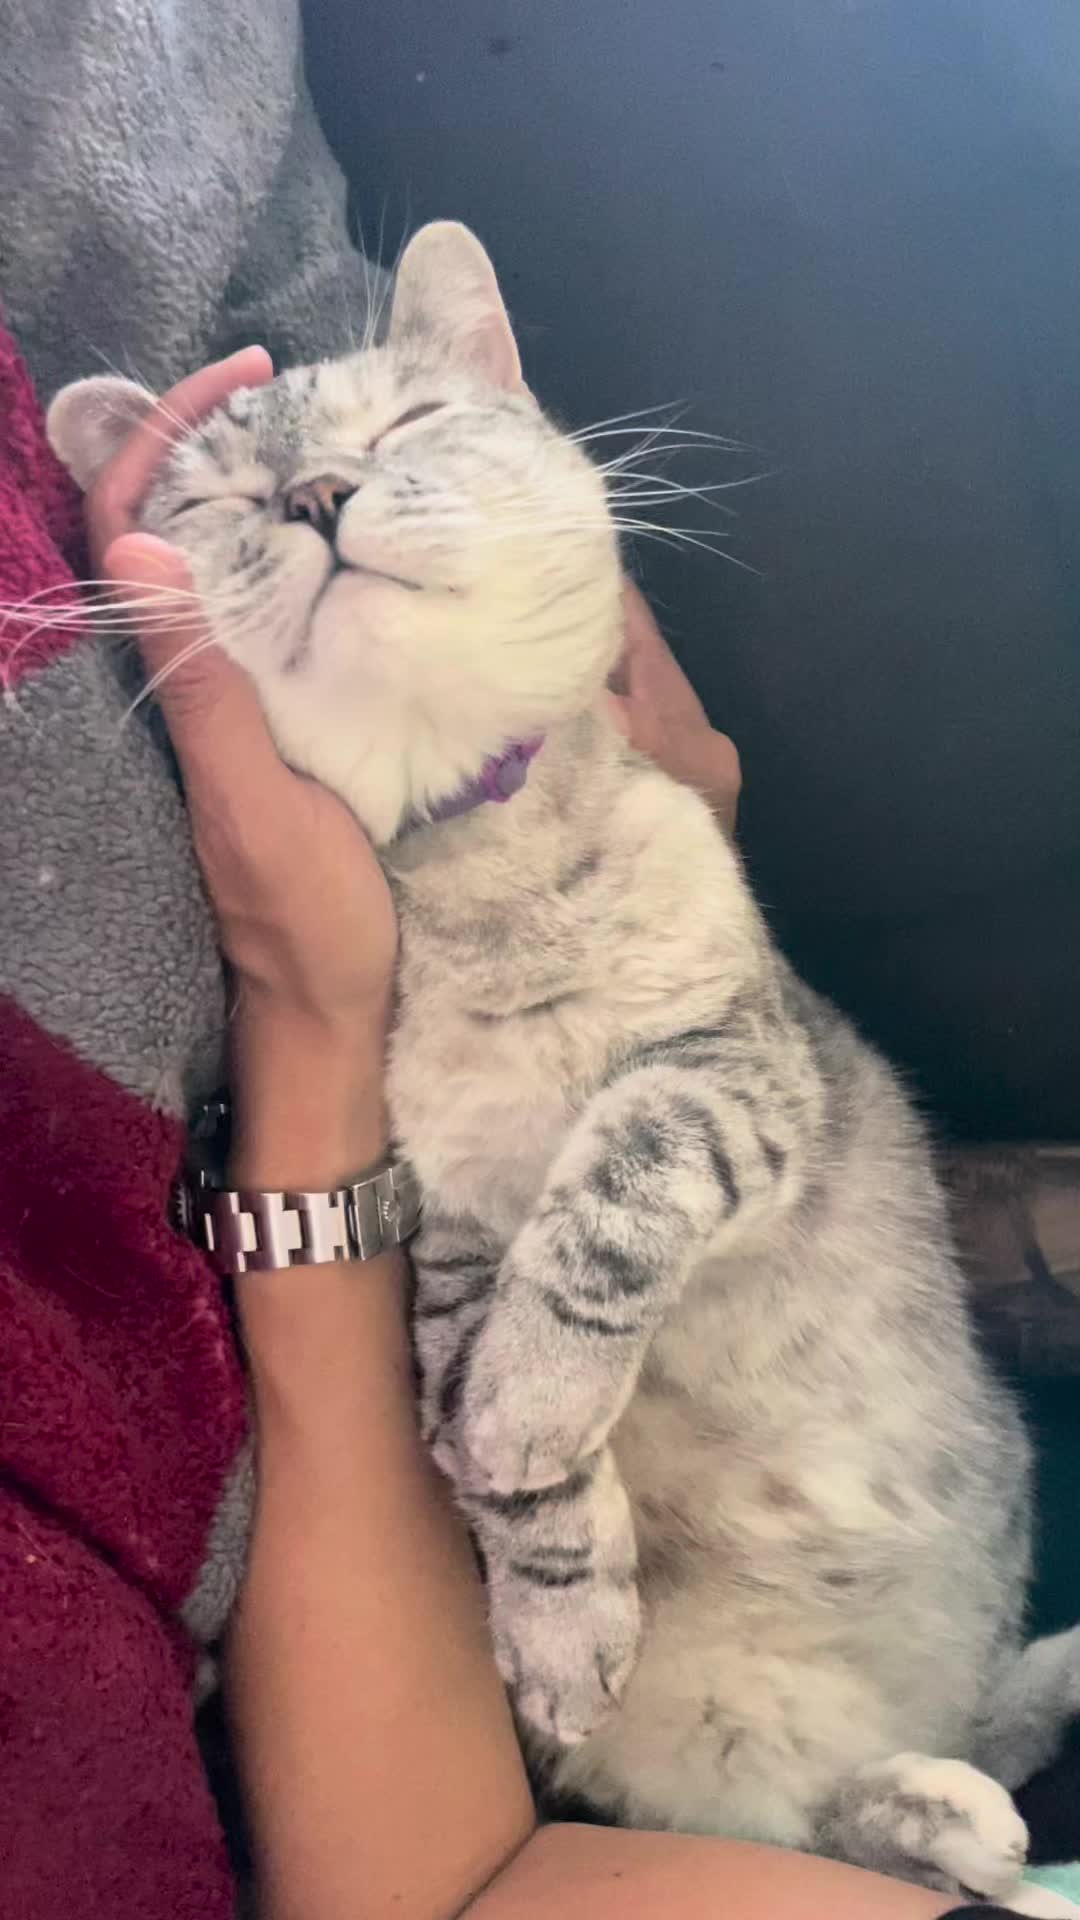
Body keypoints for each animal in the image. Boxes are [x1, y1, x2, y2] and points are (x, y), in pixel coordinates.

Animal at [47, 221, 1080, 1915]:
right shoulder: (455, 1229)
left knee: (962, 1745)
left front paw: (535, 1400)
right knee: (837, 1817)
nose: (313, 495)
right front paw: (555, 1597)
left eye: (403, 425)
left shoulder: (734, 1067)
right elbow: (509, 1462)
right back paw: (951, 1810)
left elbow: (610, 1189)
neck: (488, 879)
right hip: (734, 1767)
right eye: (218, 500)